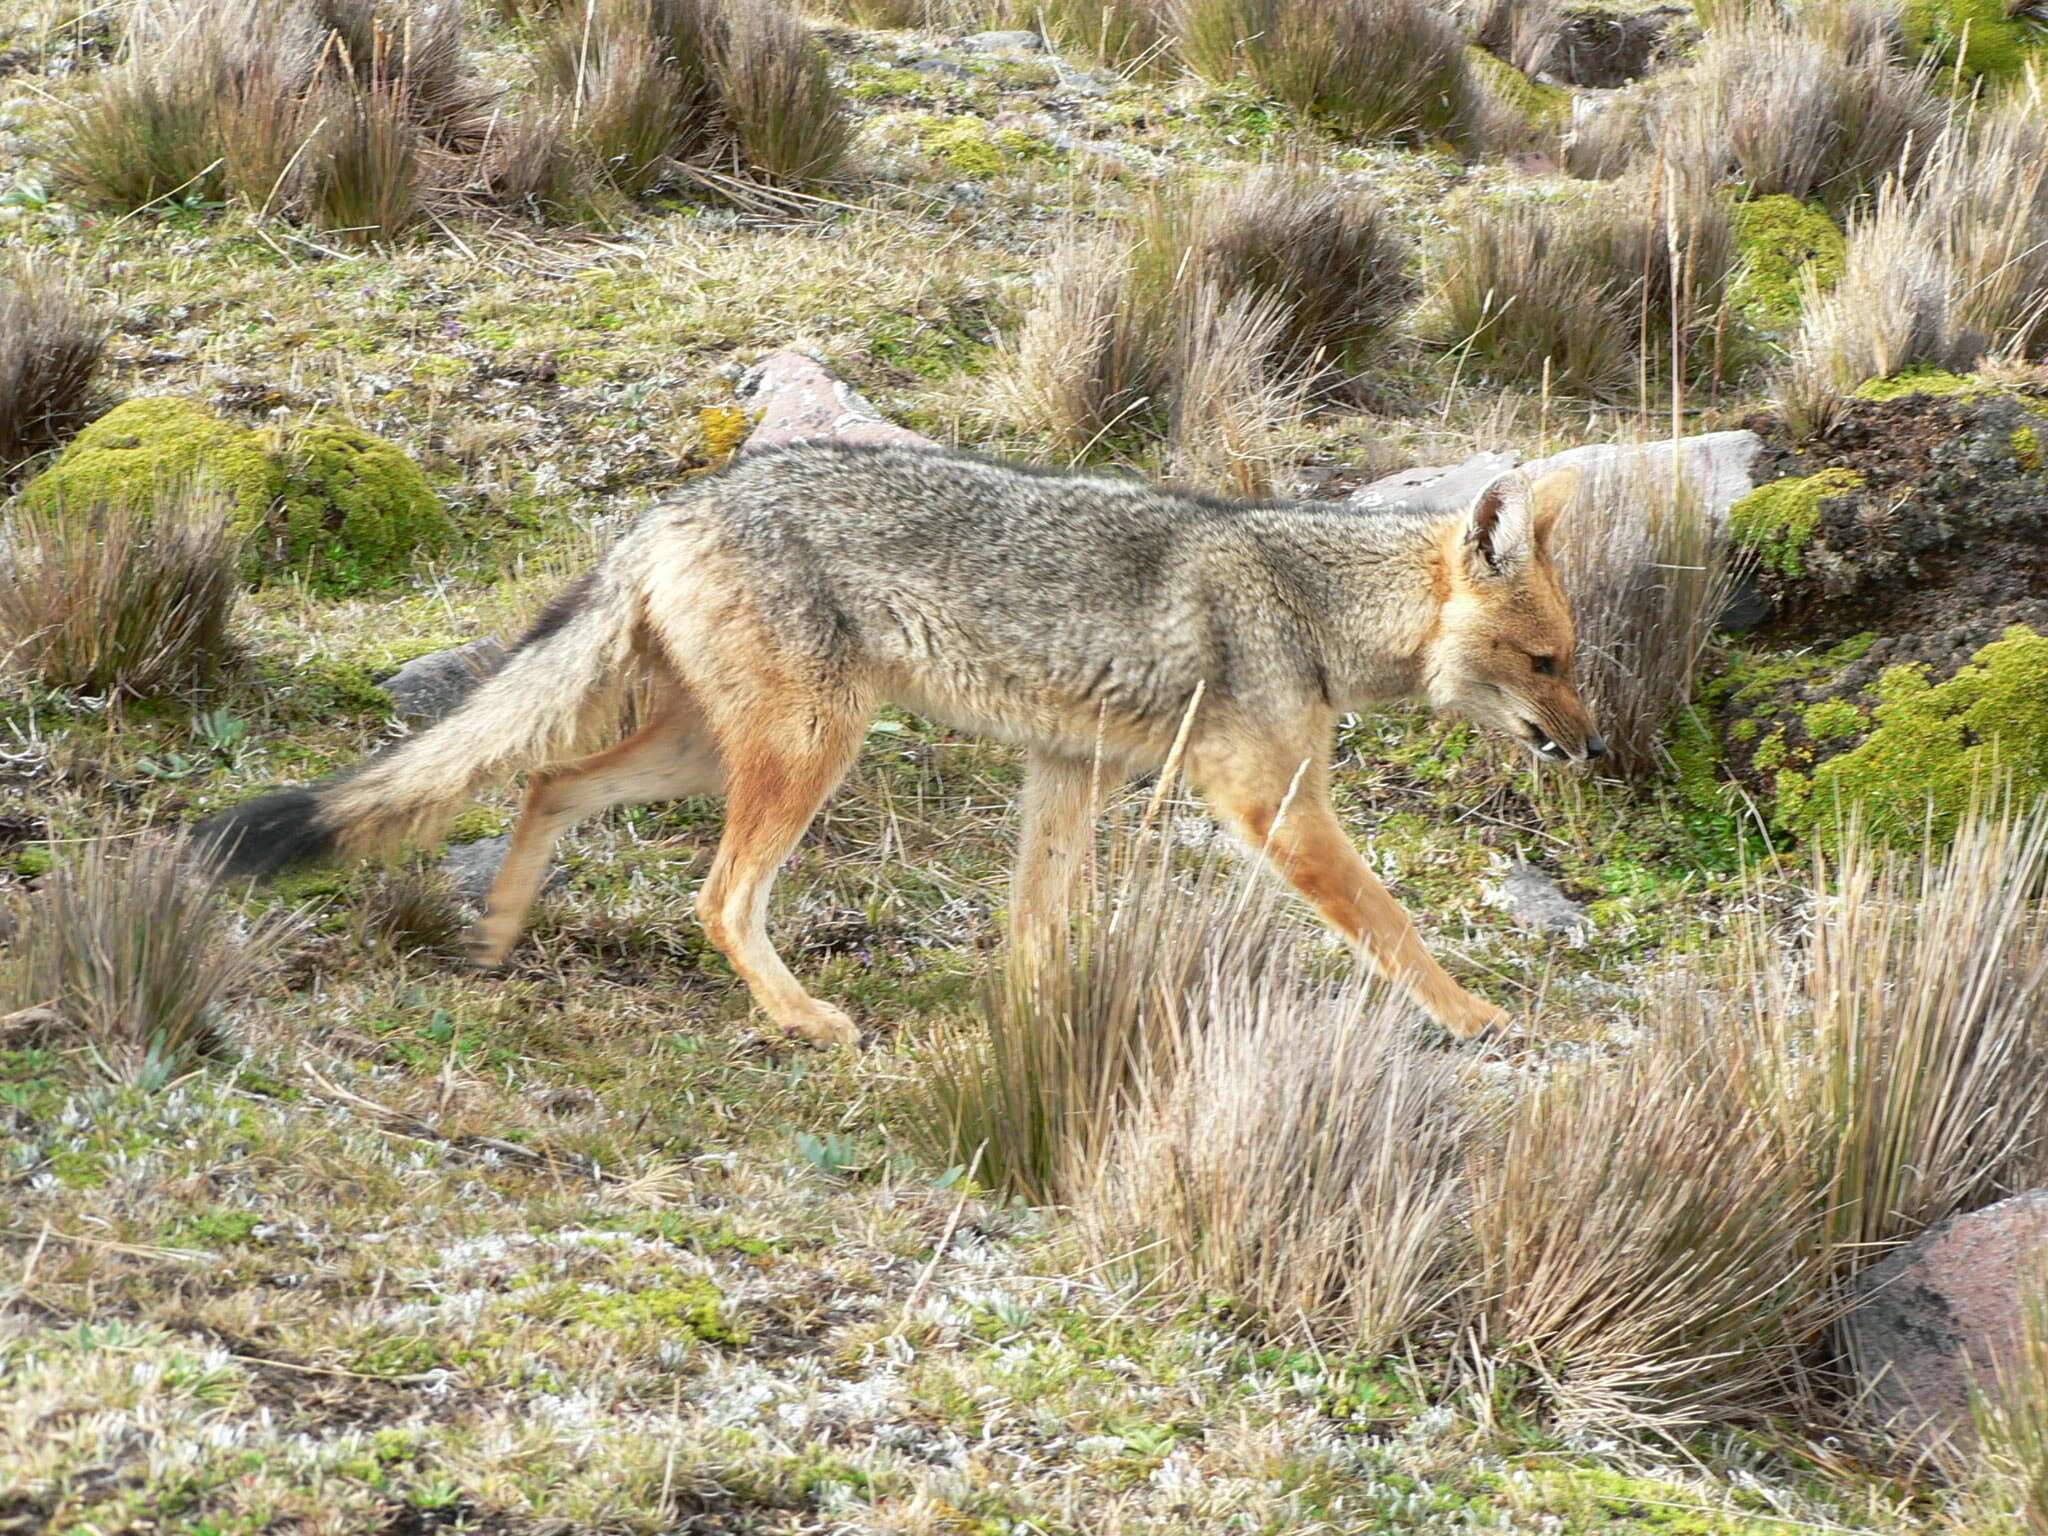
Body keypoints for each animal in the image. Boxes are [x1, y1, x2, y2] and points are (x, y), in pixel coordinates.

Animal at [195, 444, 1597, 1048]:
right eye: (1547, 663)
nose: (1585, 751)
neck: (1306, 600)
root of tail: (676, 504)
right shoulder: (1276, 810)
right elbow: (1393, 923)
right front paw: (1472, 1015)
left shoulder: (1065, 773)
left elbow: (1038, 923)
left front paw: (1040, 1024)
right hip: (810, 752)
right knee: (718, 897)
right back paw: (806, 1019)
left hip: (706, 753)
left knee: (545, 780)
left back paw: (493, 940)